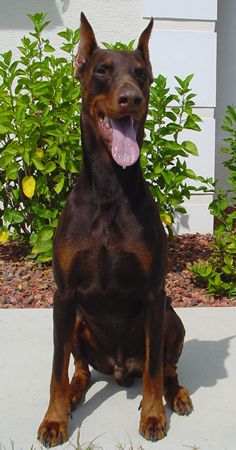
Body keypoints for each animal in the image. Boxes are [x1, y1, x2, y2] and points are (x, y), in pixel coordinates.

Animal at [37, 12, 192, 448]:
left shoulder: (155, 294)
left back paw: (177, 395)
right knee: (79, 370)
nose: (131, 98)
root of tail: (121, 370)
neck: (109, 187)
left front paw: (154, 414)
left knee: (165, 367)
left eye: (141, 75)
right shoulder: (63, 295)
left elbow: (154, 370)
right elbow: (55, 369)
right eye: (102, 71)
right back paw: (74, 396)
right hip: (75, 320)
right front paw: (54, 419)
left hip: (171, 317)